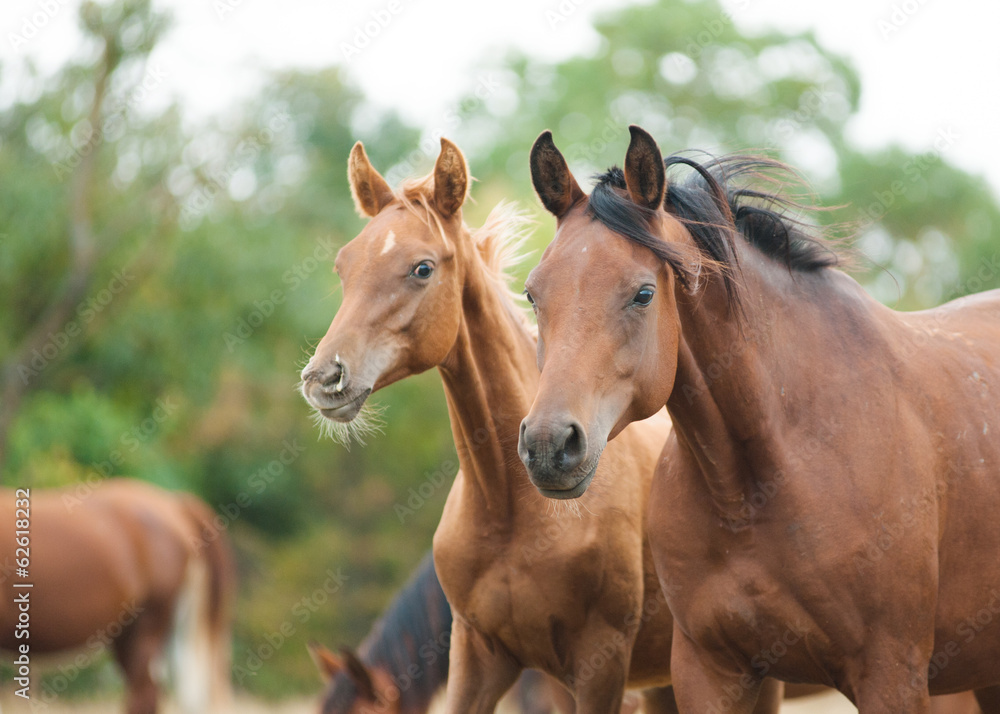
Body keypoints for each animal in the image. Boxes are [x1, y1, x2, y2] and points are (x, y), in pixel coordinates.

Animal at [300, 139, 792, 712]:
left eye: (422, 268)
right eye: (343, 266)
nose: (324, 377)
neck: (511, 512)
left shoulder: (598, 666)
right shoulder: (478, 657)